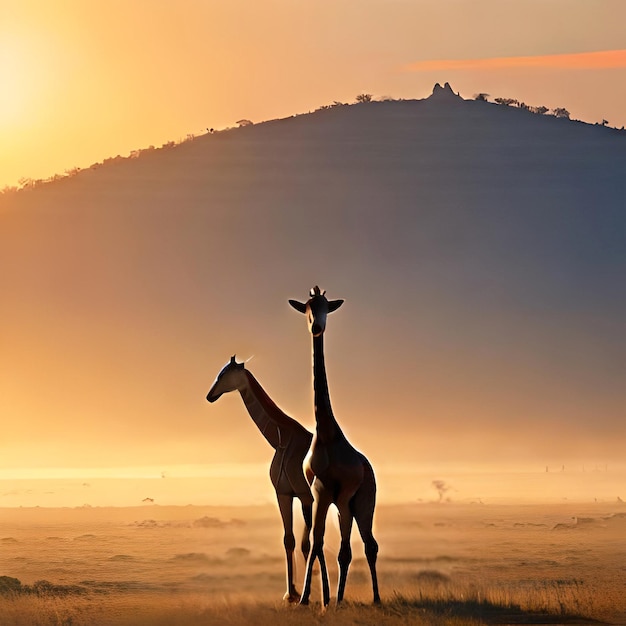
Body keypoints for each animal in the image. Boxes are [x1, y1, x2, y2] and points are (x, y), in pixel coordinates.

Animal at [205, 356, 312, 600]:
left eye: (223, 374)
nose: (209, 396)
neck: (281, 440)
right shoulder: (284, 493)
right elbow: (289, 539)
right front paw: (292, 593)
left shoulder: (303, 495)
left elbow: (306, 543)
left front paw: (303, 594)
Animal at [288, 288, 380, 604]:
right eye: (307, 308)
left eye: (327, 307)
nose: (317, 327)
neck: (327, 432)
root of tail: (369, 468)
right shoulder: (319, 491)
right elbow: (317, 542)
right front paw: (308, 599)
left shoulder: (334, 492)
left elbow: (328, 546)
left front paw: (314, 599)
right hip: (344, 505)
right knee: (347, 548)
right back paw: (340, 598)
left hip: (362, 500)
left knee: (369, 544)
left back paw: (375, 598)